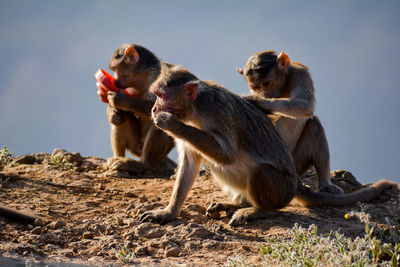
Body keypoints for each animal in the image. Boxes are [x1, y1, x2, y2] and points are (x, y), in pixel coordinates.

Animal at [96, 44, 176, 177]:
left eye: (115, 69)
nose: (115, 80)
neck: (142, 76)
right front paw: (112, 112)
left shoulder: (157, 76)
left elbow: (161, 106)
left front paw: (120, 99)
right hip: (135, 147)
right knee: (121, 120)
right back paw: (117, 159)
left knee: (161, 123)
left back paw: (142, 165)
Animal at [139, 65, 396, 226]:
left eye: (162, 96)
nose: (154, 109)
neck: (194, 109)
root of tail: (295, 184)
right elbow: (191, 163)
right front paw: (169, 212)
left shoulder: (217, 111)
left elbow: (227, 154)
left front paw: (169, 122)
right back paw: (236, 202)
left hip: (281, 188)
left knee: (260, 172)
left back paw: (258, 210)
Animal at [236, 50, 342, 195]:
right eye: (255, 87)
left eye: (266, 83)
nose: (264, 94)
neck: (283, 85)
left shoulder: (300, 74)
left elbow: (305, 104)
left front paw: (257, 101)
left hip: (294, 164)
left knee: (314, 126)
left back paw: (325, 184)